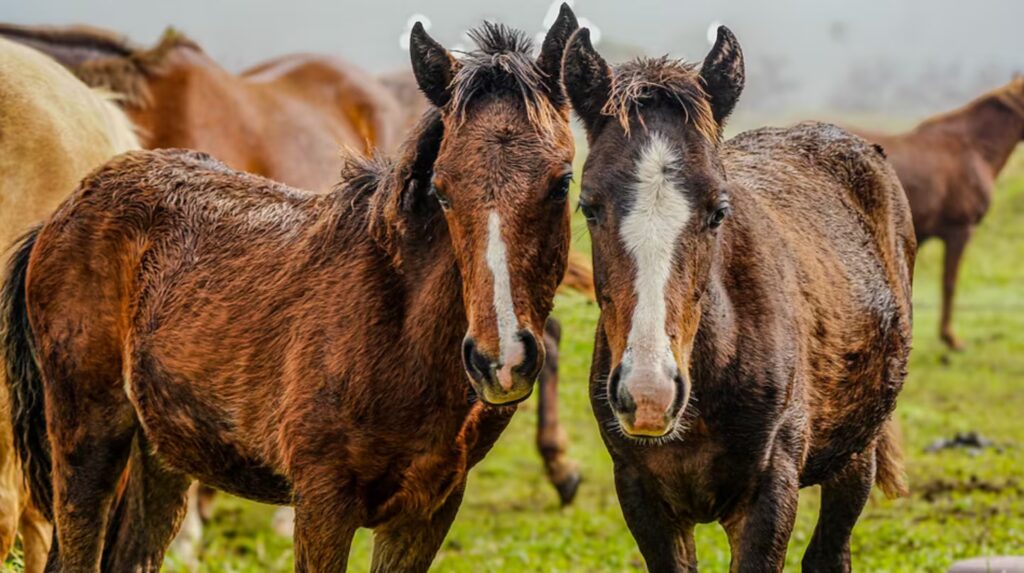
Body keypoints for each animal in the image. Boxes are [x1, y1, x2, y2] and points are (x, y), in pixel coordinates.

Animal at [562, 26, 915, 571]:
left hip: (856, 456)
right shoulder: (642, 495)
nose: (649, 394)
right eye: (589, 206)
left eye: (718, 210)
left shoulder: (768, 494)